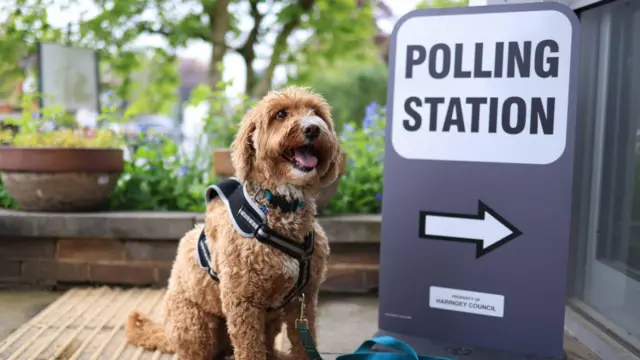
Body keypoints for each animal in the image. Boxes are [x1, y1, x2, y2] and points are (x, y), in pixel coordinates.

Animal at [127, 87, 342, 360]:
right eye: (280, 114)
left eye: (316, 112)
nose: (313, 128)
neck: (278, 208)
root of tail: (166, 333)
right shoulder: (242, 301)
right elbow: (250, 349)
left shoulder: (304, 299)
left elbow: (304, 343)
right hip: (195, 325)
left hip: (269, 319)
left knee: (268, 345)